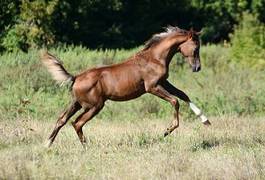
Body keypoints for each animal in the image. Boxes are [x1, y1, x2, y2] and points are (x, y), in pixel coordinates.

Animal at [40, 26, 210, 148]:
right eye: (196, 48)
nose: (197, 68)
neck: (154, 58)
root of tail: (75, 78)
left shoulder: (163, 82)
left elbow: (183, 95)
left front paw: (205, 120)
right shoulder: (152, 87)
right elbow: (175, 101)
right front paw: (167, 130)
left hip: (77, 103)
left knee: (62, 119)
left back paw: (47, 144)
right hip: (94, 106)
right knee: (77, 123)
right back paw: (87, 147)